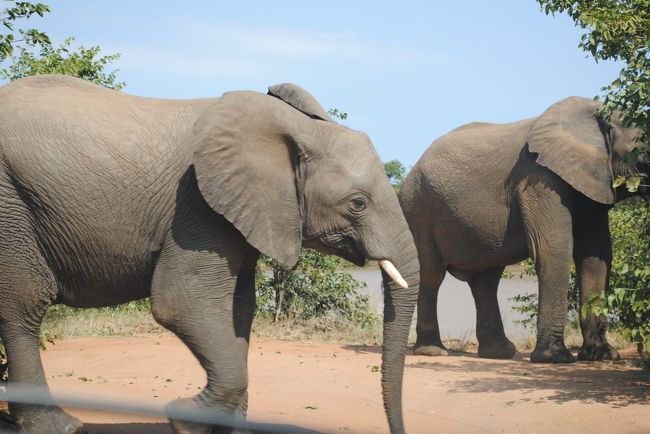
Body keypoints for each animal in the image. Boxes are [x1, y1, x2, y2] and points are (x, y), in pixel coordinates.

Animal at [0, 75, 418, 434]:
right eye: (357, 204)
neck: (295, 130)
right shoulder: (198, 205)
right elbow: (182, 302)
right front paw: (182, 417)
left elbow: (240, 310)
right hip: (11, 205)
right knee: (23, 306)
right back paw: (61, 426)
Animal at [398, 97, 644, 362]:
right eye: (641, 152)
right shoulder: (538, 178)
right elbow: (553, 248)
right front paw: (554, 358)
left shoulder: (594, 184)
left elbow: (596, 256)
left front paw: (601, 355)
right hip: (419, 211)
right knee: (431, 274)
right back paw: (434, 351)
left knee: (486, 280)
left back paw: (499, 353)